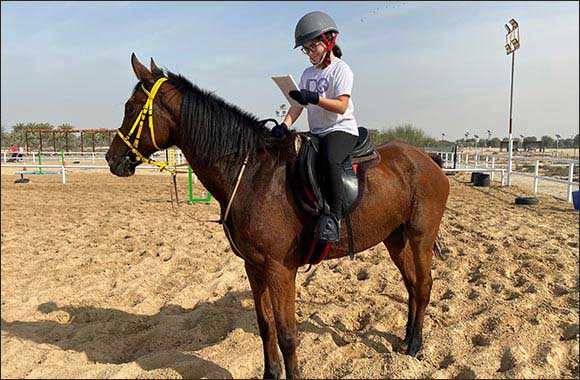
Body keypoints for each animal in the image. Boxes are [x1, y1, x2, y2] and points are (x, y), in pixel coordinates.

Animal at [105, 54, 448, 380]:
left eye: (131, 108)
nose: (111, 159)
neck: (252, 174)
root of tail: (427, 159)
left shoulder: (280, 270)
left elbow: (287, 335)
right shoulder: (254, 267)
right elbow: (265, 326)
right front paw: (270, 372)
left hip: (420, 237)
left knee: (424, 285)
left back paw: (415, 345)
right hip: (395, 237)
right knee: (411, 284)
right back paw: (406, 339)